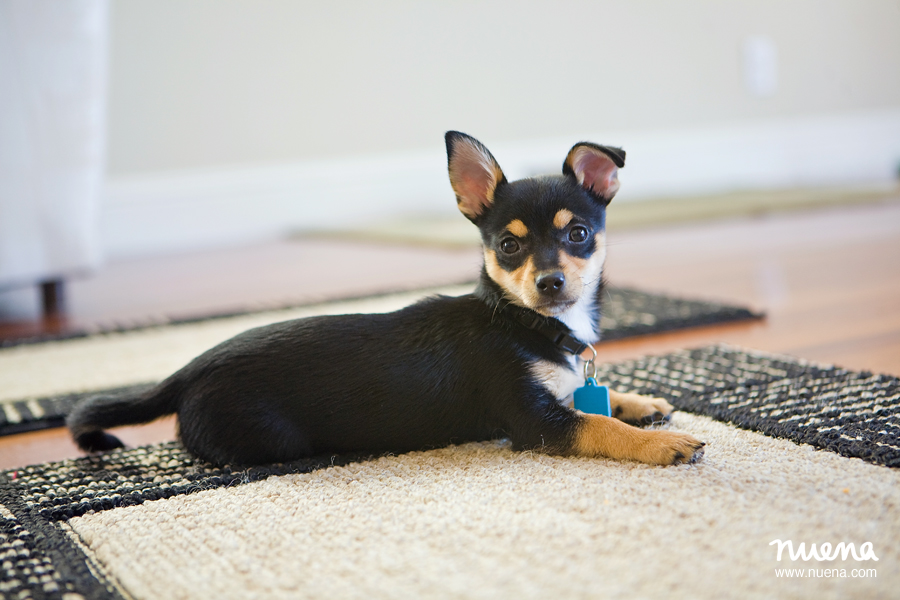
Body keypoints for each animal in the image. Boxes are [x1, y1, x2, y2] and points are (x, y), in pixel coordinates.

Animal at [70, 132, 704, 468]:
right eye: (508, 245)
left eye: (579, 234)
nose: (550, 282)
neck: (529, 325)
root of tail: (190, 369)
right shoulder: (536, 422)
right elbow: (596, 426)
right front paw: (664, 441)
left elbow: (597, 400)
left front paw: (641, 401)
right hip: (269, 437)